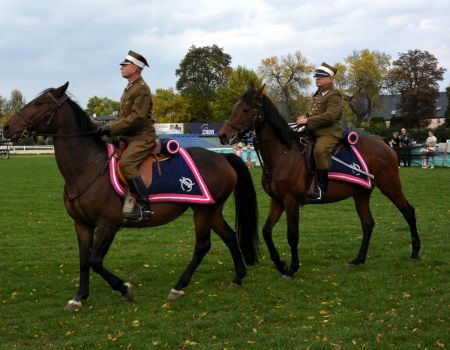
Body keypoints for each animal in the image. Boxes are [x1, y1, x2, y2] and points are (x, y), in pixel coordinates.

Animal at [3, 83, 258, 310]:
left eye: (39, 103)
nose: (6, 127)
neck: (89, 167)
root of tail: (222, 157)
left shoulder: (109, 224)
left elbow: (95, 261)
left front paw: (125, 289)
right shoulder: (82, 224)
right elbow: (84, 260)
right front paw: (79, 297)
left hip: (204, 211)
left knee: (203, 245)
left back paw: (178, 287)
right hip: (210, 209)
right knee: (229, 235)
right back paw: (238, 277)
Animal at [220, 85, 420, 278]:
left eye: (246, 110)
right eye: (235, 107)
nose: (223, 135)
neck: (283, 154)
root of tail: (384, 143)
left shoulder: (291, 201)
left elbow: (292, 235)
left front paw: (292, 268)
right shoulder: (277, 200)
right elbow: (266, 231)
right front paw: (280, 264)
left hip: (390, 186)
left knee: (408, 212)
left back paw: (415, 252)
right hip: (361, 194)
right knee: (368, 223)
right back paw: (358, 260)